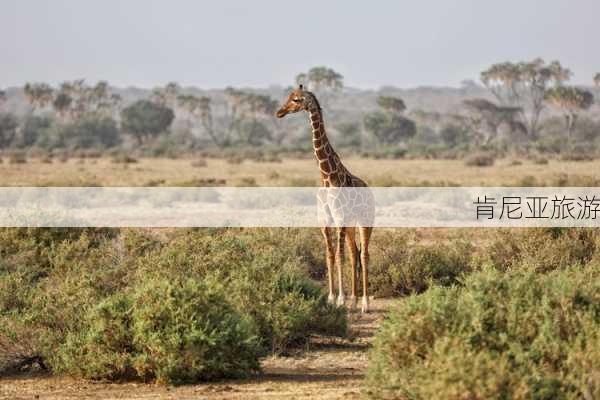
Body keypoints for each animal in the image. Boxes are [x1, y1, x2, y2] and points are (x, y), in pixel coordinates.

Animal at [278, 84, 376, 312]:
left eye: (296, 99)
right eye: (288, 96)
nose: (280, 112)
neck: (327, 176)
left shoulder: (339, 219)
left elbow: (339, 256)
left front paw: (340, 299)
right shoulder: (325, 220)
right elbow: (330, 255)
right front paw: (332, 298)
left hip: (365, 221)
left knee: (364, 255)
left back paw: (364, 303)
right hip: (350, 225)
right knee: (354, 253)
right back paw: (354, 300)